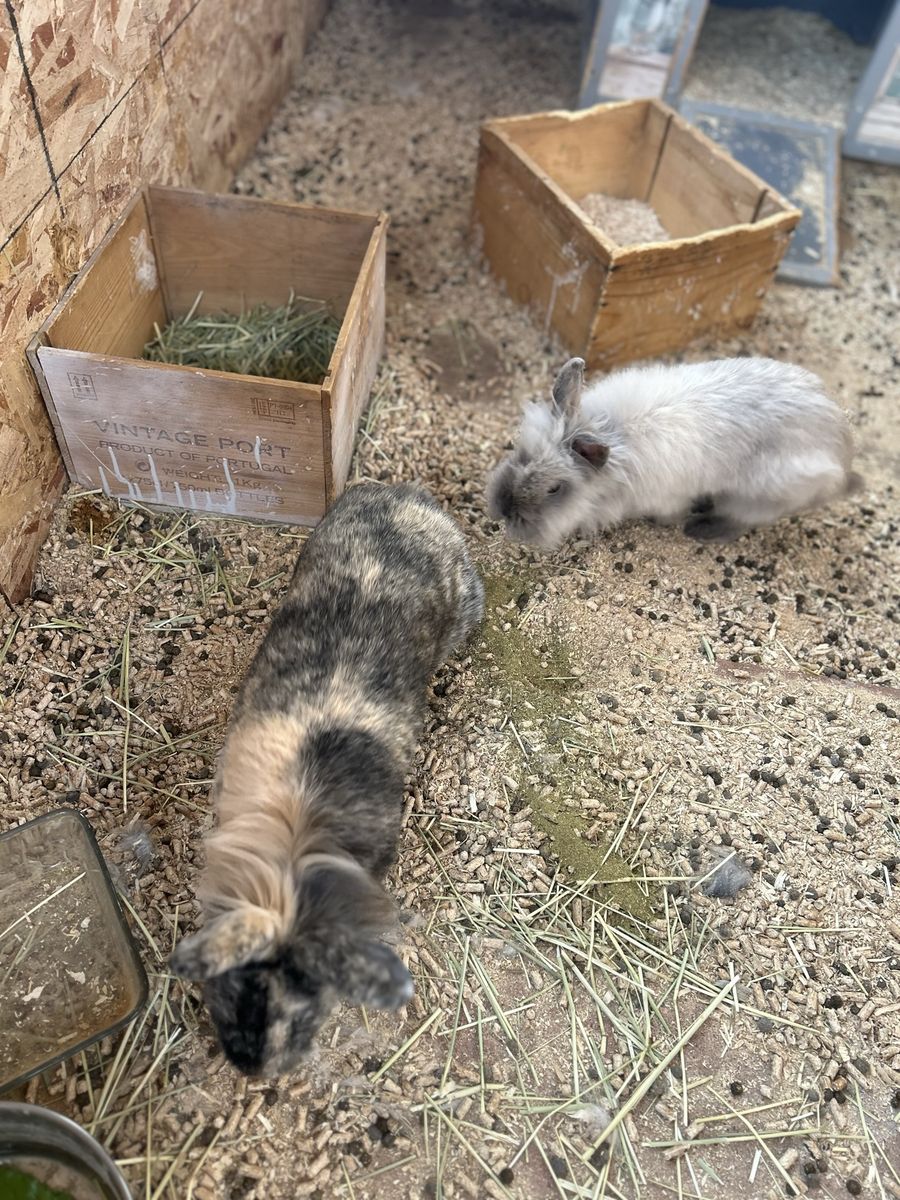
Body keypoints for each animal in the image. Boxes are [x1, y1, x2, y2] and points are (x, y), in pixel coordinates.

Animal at [486, 356, 862, 548]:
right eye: (520, 452)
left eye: (554, 489)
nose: (505, 510)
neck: (615, 435)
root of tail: (843, 458)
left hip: (756, 495)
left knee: (743, 520)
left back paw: (701, 530)